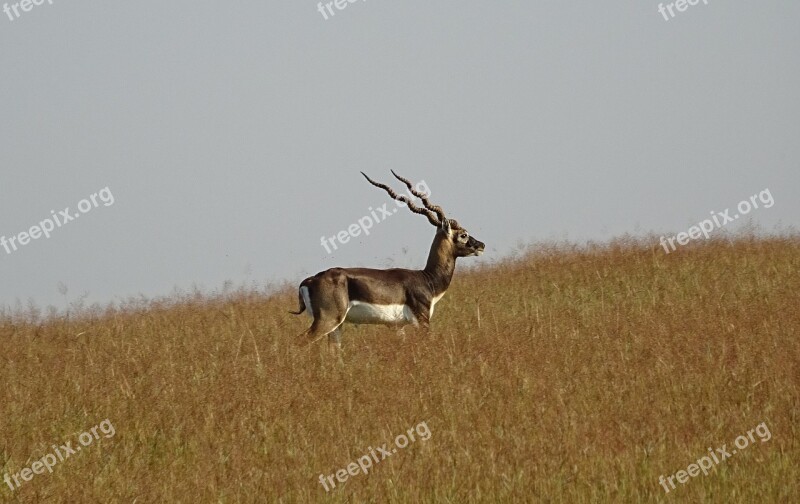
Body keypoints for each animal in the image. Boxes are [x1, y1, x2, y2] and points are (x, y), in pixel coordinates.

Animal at [292, 171, 484, 352]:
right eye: (463, 234)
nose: (481, 245)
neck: (427, 279)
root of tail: (309, 281)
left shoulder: (397, 327)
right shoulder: (422, 321)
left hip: (337, 326)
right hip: (328, 320)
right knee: (299, 341)